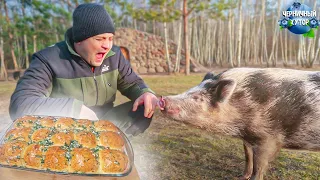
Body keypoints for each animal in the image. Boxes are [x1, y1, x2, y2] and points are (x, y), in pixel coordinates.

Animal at [159, 68, 320, 180]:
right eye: (190, 89)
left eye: (196, 97)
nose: (163, 98)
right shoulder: (247, 138)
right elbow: (248, 157)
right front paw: (241, 177)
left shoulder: (269, 139)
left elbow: (259, 166)